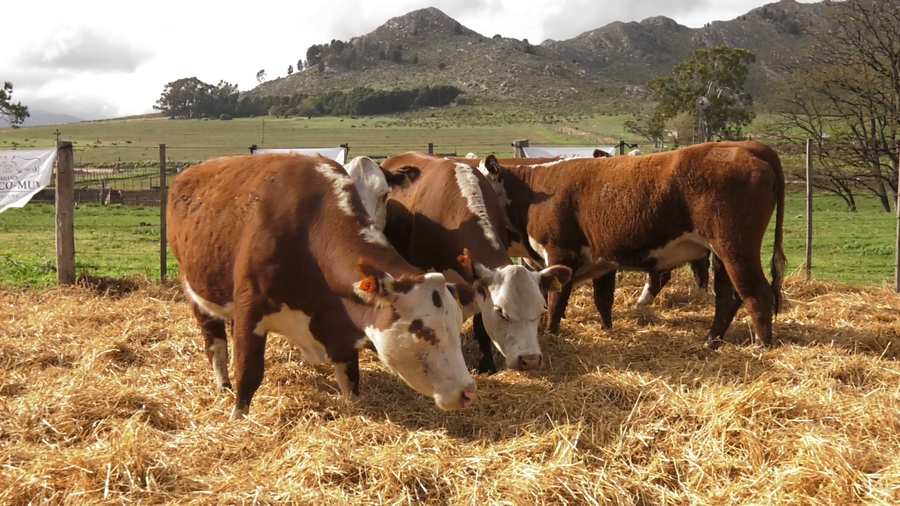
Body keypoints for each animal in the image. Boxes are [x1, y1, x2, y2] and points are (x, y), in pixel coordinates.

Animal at [167, 153, 478, 420]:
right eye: (425, 331)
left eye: (456, 324)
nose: (467, 392)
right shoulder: (250, 311)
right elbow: (248, 372)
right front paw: (238, 418)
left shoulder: (345, 321)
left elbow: (350, 379)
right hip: (195, 290)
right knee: (215, 341)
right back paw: (223, 384)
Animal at [461, 141, 786, 349]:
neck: (531, 192)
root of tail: (749, 147)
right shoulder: (602, 260)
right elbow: (602, 301)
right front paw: (607, 329)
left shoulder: (560, 252)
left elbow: (555, 302)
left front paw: (550, 333)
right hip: (722, 255)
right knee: (728, 297)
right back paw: (711, 342)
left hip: (735, 248)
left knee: (756, 294)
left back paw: (761, 346)